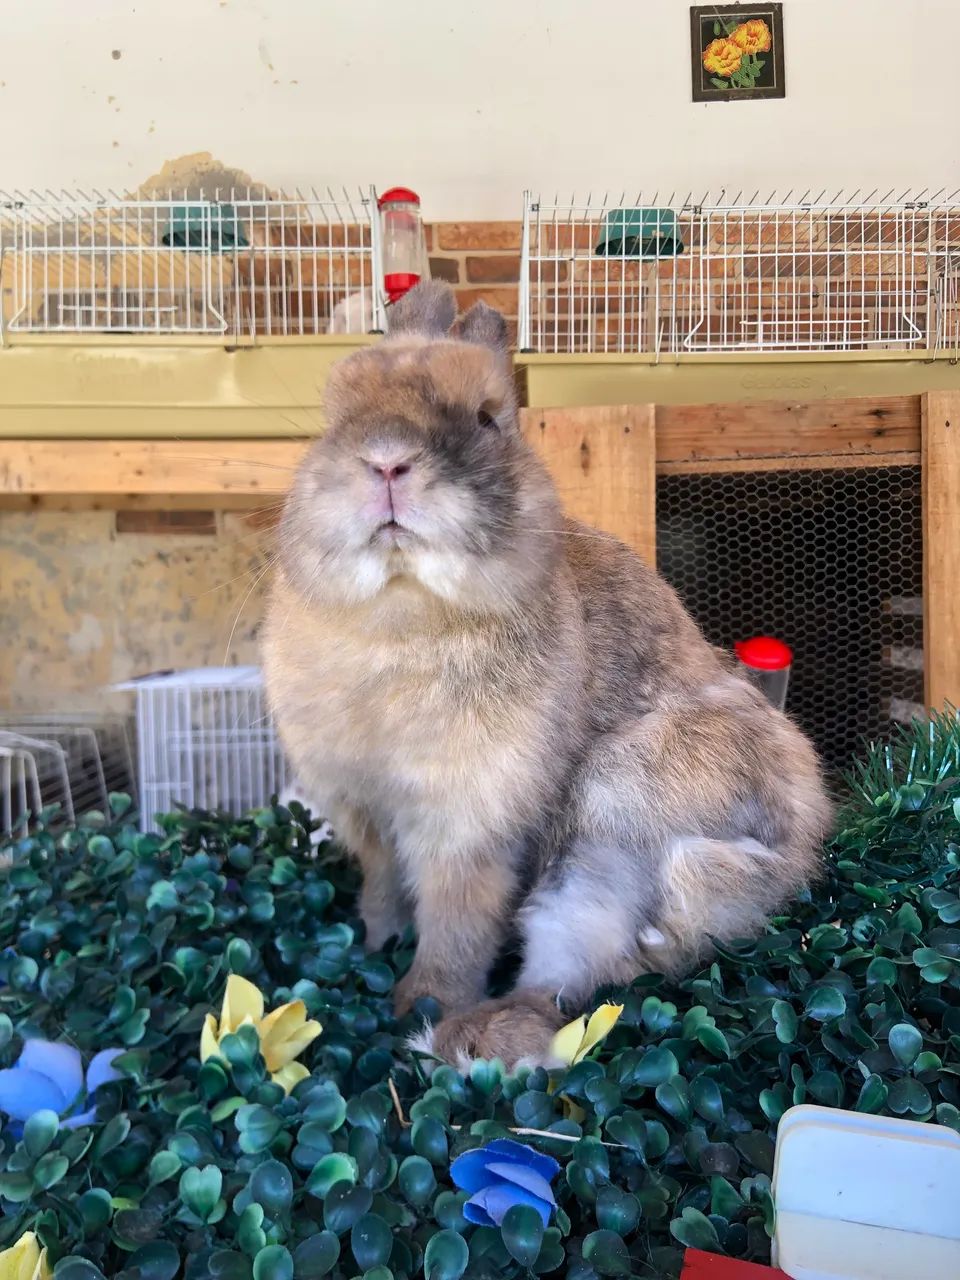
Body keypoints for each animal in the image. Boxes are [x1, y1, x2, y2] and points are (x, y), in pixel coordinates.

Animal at [261, 281, 832, 1069]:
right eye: (333, 416)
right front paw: (373, 946)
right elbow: (382, 891)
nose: (385, 462)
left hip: (614, 819)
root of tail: (791, 850)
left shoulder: (470, 826)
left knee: (575, 975)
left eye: (487, 418)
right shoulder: (367, 817)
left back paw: (467, 1034)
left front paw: (421, 994)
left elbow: (458, 923)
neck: (402, 616)